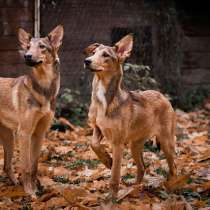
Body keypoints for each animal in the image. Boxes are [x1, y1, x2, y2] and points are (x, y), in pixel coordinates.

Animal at [0, 25, 63, 195]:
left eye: (42, 46)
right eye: (28, 47)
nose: (27, 56)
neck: (43, 89)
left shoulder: (39, 134)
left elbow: (34, 166)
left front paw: (35, 189)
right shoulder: (25, 133)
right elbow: (26, 167)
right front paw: (29, 192)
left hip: (8, 137)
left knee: (6, 166)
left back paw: (15, 183)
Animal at [84, 34, 176, 199]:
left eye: (105, 55)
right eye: (93, 52)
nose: (87, 61)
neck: (103, 99)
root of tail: (162, 96)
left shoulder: (118, 143)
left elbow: (115, 174)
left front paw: (111, 198)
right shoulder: (97, 128)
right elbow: (94, 144)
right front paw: (107, 160)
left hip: (167, 142)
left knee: (173, 167)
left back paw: (172, 186)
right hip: (135, 145)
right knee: (142, 167)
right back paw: (134, 189)